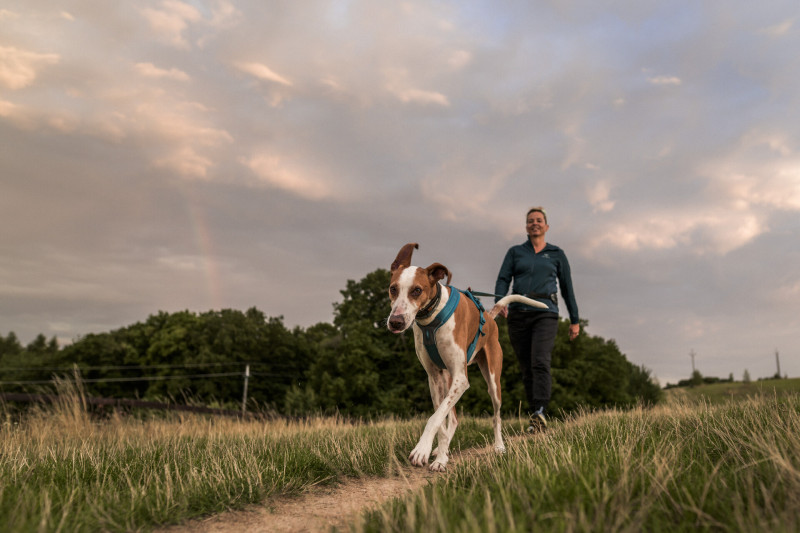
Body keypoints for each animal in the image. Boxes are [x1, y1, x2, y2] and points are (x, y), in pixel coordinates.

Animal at [384, 241, 548, 470]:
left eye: (417, 290)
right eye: (393, 289)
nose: (395, 322)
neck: (432, 317)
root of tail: (489, 317)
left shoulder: (461, 380)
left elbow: (434, 419)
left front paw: (422, 450)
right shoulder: (434, 378)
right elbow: (439, 419)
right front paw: (439, 455)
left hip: (493, 382)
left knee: (496, 417)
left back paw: (499, 447)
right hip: (448, 378)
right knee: (452, 418)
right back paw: (441, 450)